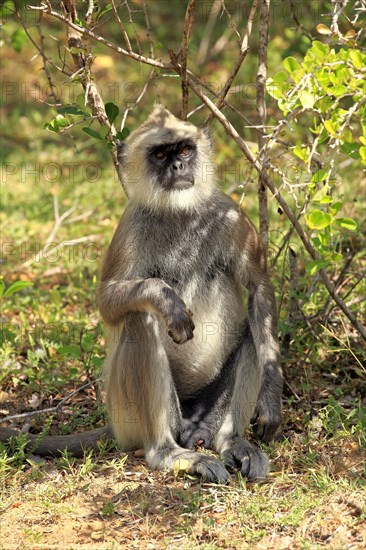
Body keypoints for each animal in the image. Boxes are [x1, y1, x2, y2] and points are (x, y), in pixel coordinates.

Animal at [98, 104, 284, 484]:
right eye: (160, 154)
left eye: (185, 150)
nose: (178, 167)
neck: (179, 211)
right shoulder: (131, 225)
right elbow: (107, 303)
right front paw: (168, 301)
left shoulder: (229, 213)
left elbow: (258, 286)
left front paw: (271, 396)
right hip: (127, 418)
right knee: (140, 318)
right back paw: (167, 453)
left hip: (206, 407)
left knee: (255, 330)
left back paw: (232, 441)